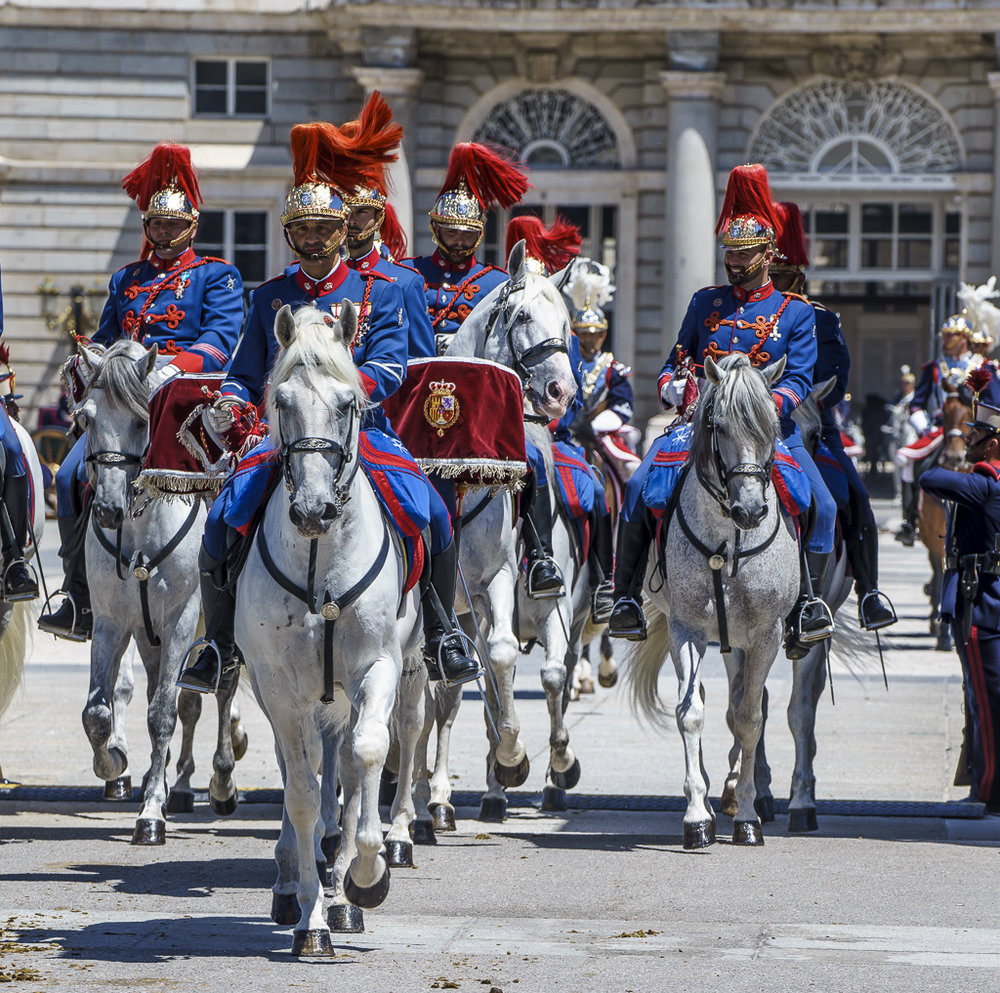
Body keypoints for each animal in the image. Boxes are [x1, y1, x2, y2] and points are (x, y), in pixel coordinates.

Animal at [76, 342, 238, 844]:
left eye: (140, 420)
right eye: (85, 417)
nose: (108, 510)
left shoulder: (183, 619)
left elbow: (162, 713)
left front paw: (150, 814)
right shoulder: (111, 622)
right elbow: (98, 712)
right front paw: (113, 765)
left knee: (222, 690)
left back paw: (221, 782)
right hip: (151, 640)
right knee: (183, 699)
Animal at [236, 302, 424, 952]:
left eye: (347, 403)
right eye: (281, 401)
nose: (313, 511)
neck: (321, 563)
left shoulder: (378, 667)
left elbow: (366, 756)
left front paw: (365, 878)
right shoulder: (279, 687)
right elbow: (298, 791)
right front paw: (311, 917)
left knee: (349, 765)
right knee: (306, 773)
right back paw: (293, 880)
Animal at [422, 240, 580, 828]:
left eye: (568, 322)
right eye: (523, 317)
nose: (560, 392)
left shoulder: (497, 578)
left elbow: (507, 656)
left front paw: (515, 757)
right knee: (445, 697)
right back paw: (437, 797)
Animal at [624, 352, 796, 848]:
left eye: (772, 424)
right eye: (718, 425)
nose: (751, 510)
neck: (727, 541)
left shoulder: (765, 636)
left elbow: (750, 717)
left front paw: (749, 817)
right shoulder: (686, 629)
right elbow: (690, 714)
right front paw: (697, 816)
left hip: (740, 640)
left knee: (741, 703)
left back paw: (738, 792)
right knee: (699, 696)